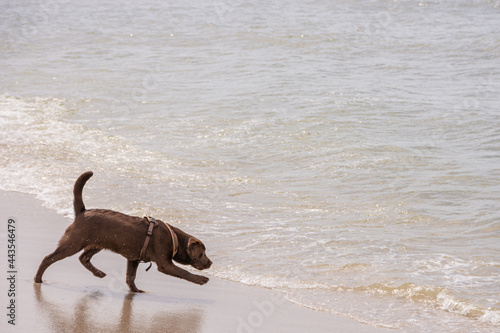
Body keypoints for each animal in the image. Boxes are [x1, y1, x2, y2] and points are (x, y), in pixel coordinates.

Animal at [34, 171, 211, 290]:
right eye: (202, 253)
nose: (210, 262)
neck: (175, 238)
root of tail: (82, 212)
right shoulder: (164, 264)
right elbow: (184, 272)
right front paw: (201, 279)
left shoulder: (133, 259)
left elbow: (130, 277)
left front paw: (136, 291)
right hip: (73, 242)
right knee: (48, 258)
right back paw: (38, 279)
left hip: (97, 244)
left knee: (83, 258)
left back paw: (98, 273)